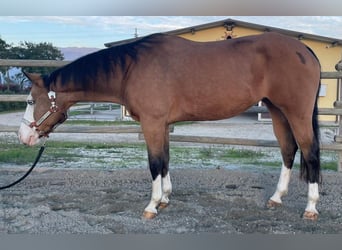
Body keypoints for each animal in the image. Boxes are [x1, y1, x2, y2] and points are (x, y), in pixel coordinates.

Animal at [17, 31, 322, 221]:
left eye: (31, 100)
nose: (24, 136)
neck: (130, 70)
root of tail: (304, 49)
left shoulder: (152, 123)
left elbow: (154, 163)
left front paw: (151, 206)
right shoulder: (162, 124)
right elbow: (164, 160)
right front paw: (164, 198)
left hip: (296, 112)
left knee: (310, 153)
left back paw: (310, 208)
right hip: (277, 111)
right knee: (288, 150)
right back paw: (276, 198)